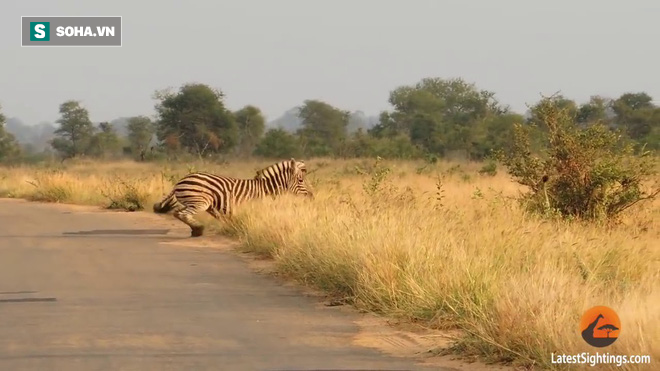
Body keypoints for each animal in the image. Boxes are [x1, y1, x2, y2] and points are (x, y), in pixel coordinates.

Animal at [153, 158, 314, 237]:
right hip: (201, 202)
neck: (265, 189)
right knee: (181, 213)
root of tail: (180, 181)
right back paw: (198, 230)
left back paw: (195, 230)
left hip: (194, 202)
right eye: (301, 180)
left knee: (178, 212)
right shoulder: (256, 207)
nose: (311, 196)